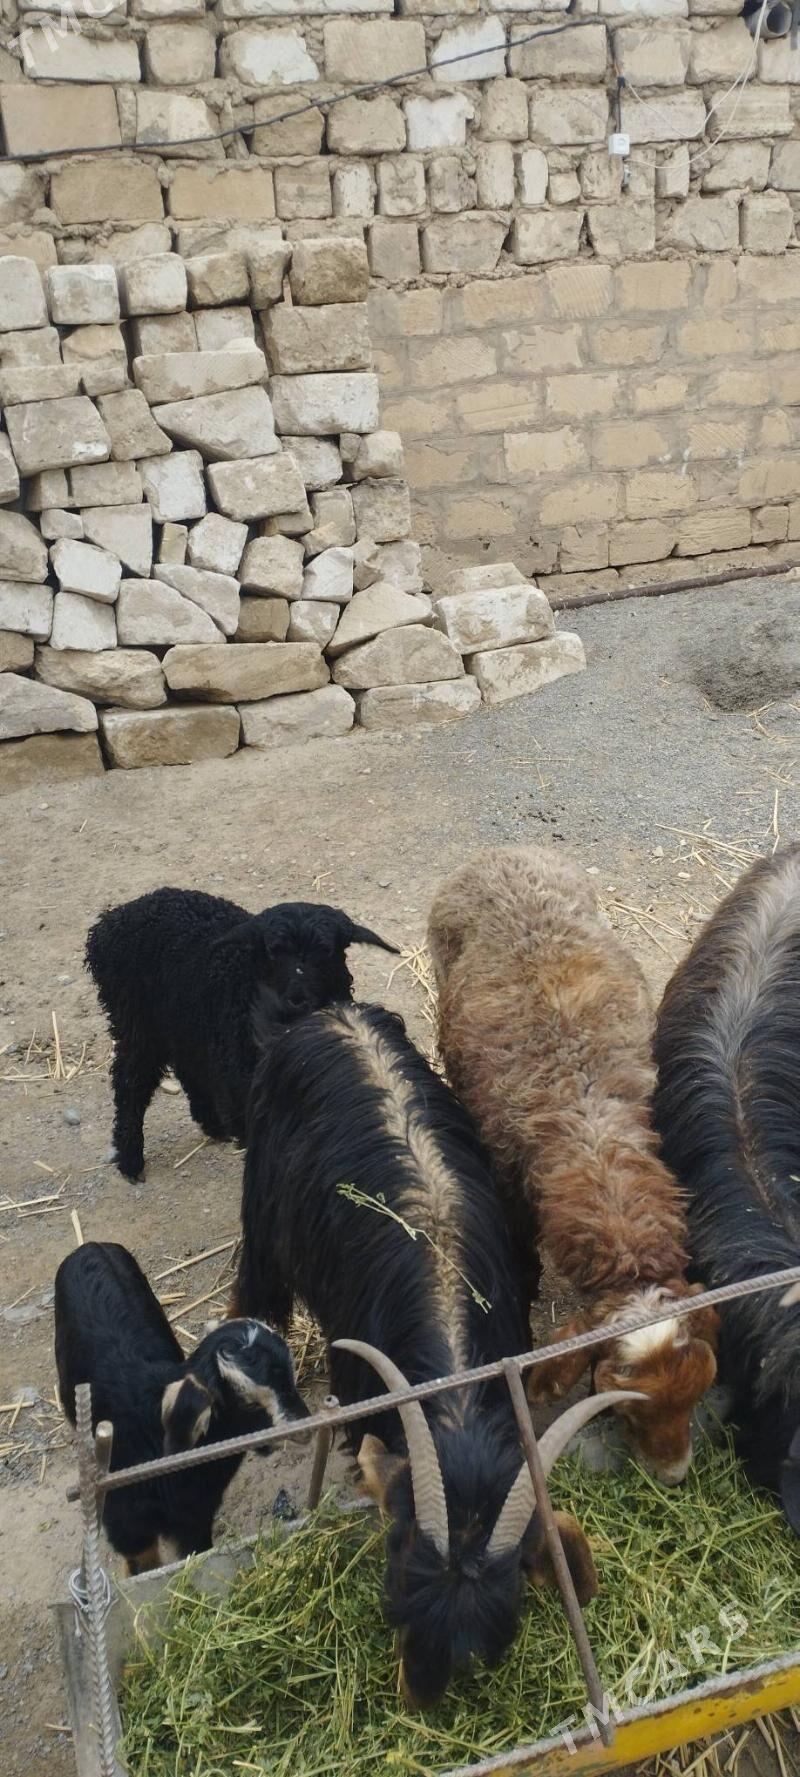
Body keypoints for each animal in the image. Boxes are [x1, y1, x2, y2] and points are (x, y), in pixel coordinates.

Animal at [85, 888, 396, 1180]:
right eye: (272, 951)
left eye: (327, 951)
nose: (296, 1000)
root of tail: (111, 921)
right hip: (137, 1022)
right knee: (131, 1082)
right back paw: (130, 1159)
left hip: (184, 1020)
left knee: (187, 1065)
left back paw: (212, 1124)